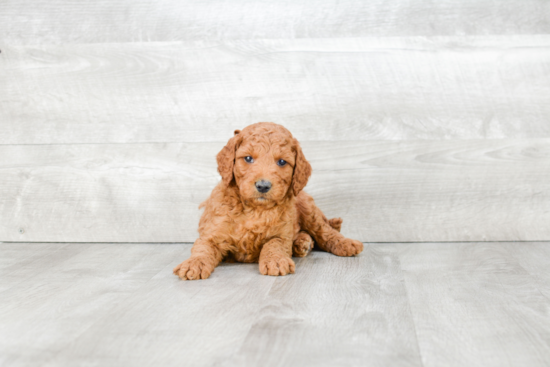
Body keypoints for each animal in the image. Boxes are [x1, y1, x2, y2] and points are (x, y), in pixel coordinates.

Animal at [176, 122, 366, 280]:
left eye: (282, 162)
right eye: (248, 158)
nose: (263, 185)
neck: (254, 209)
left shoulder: (280, 233)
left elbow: (274, 244)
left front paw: (276, 261)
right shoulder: (212, 233)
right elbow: (202, 248)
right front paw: (193, 264)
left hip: (307, 207)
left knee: (325, 231)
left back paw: (345, 244)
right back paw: (302, 243)